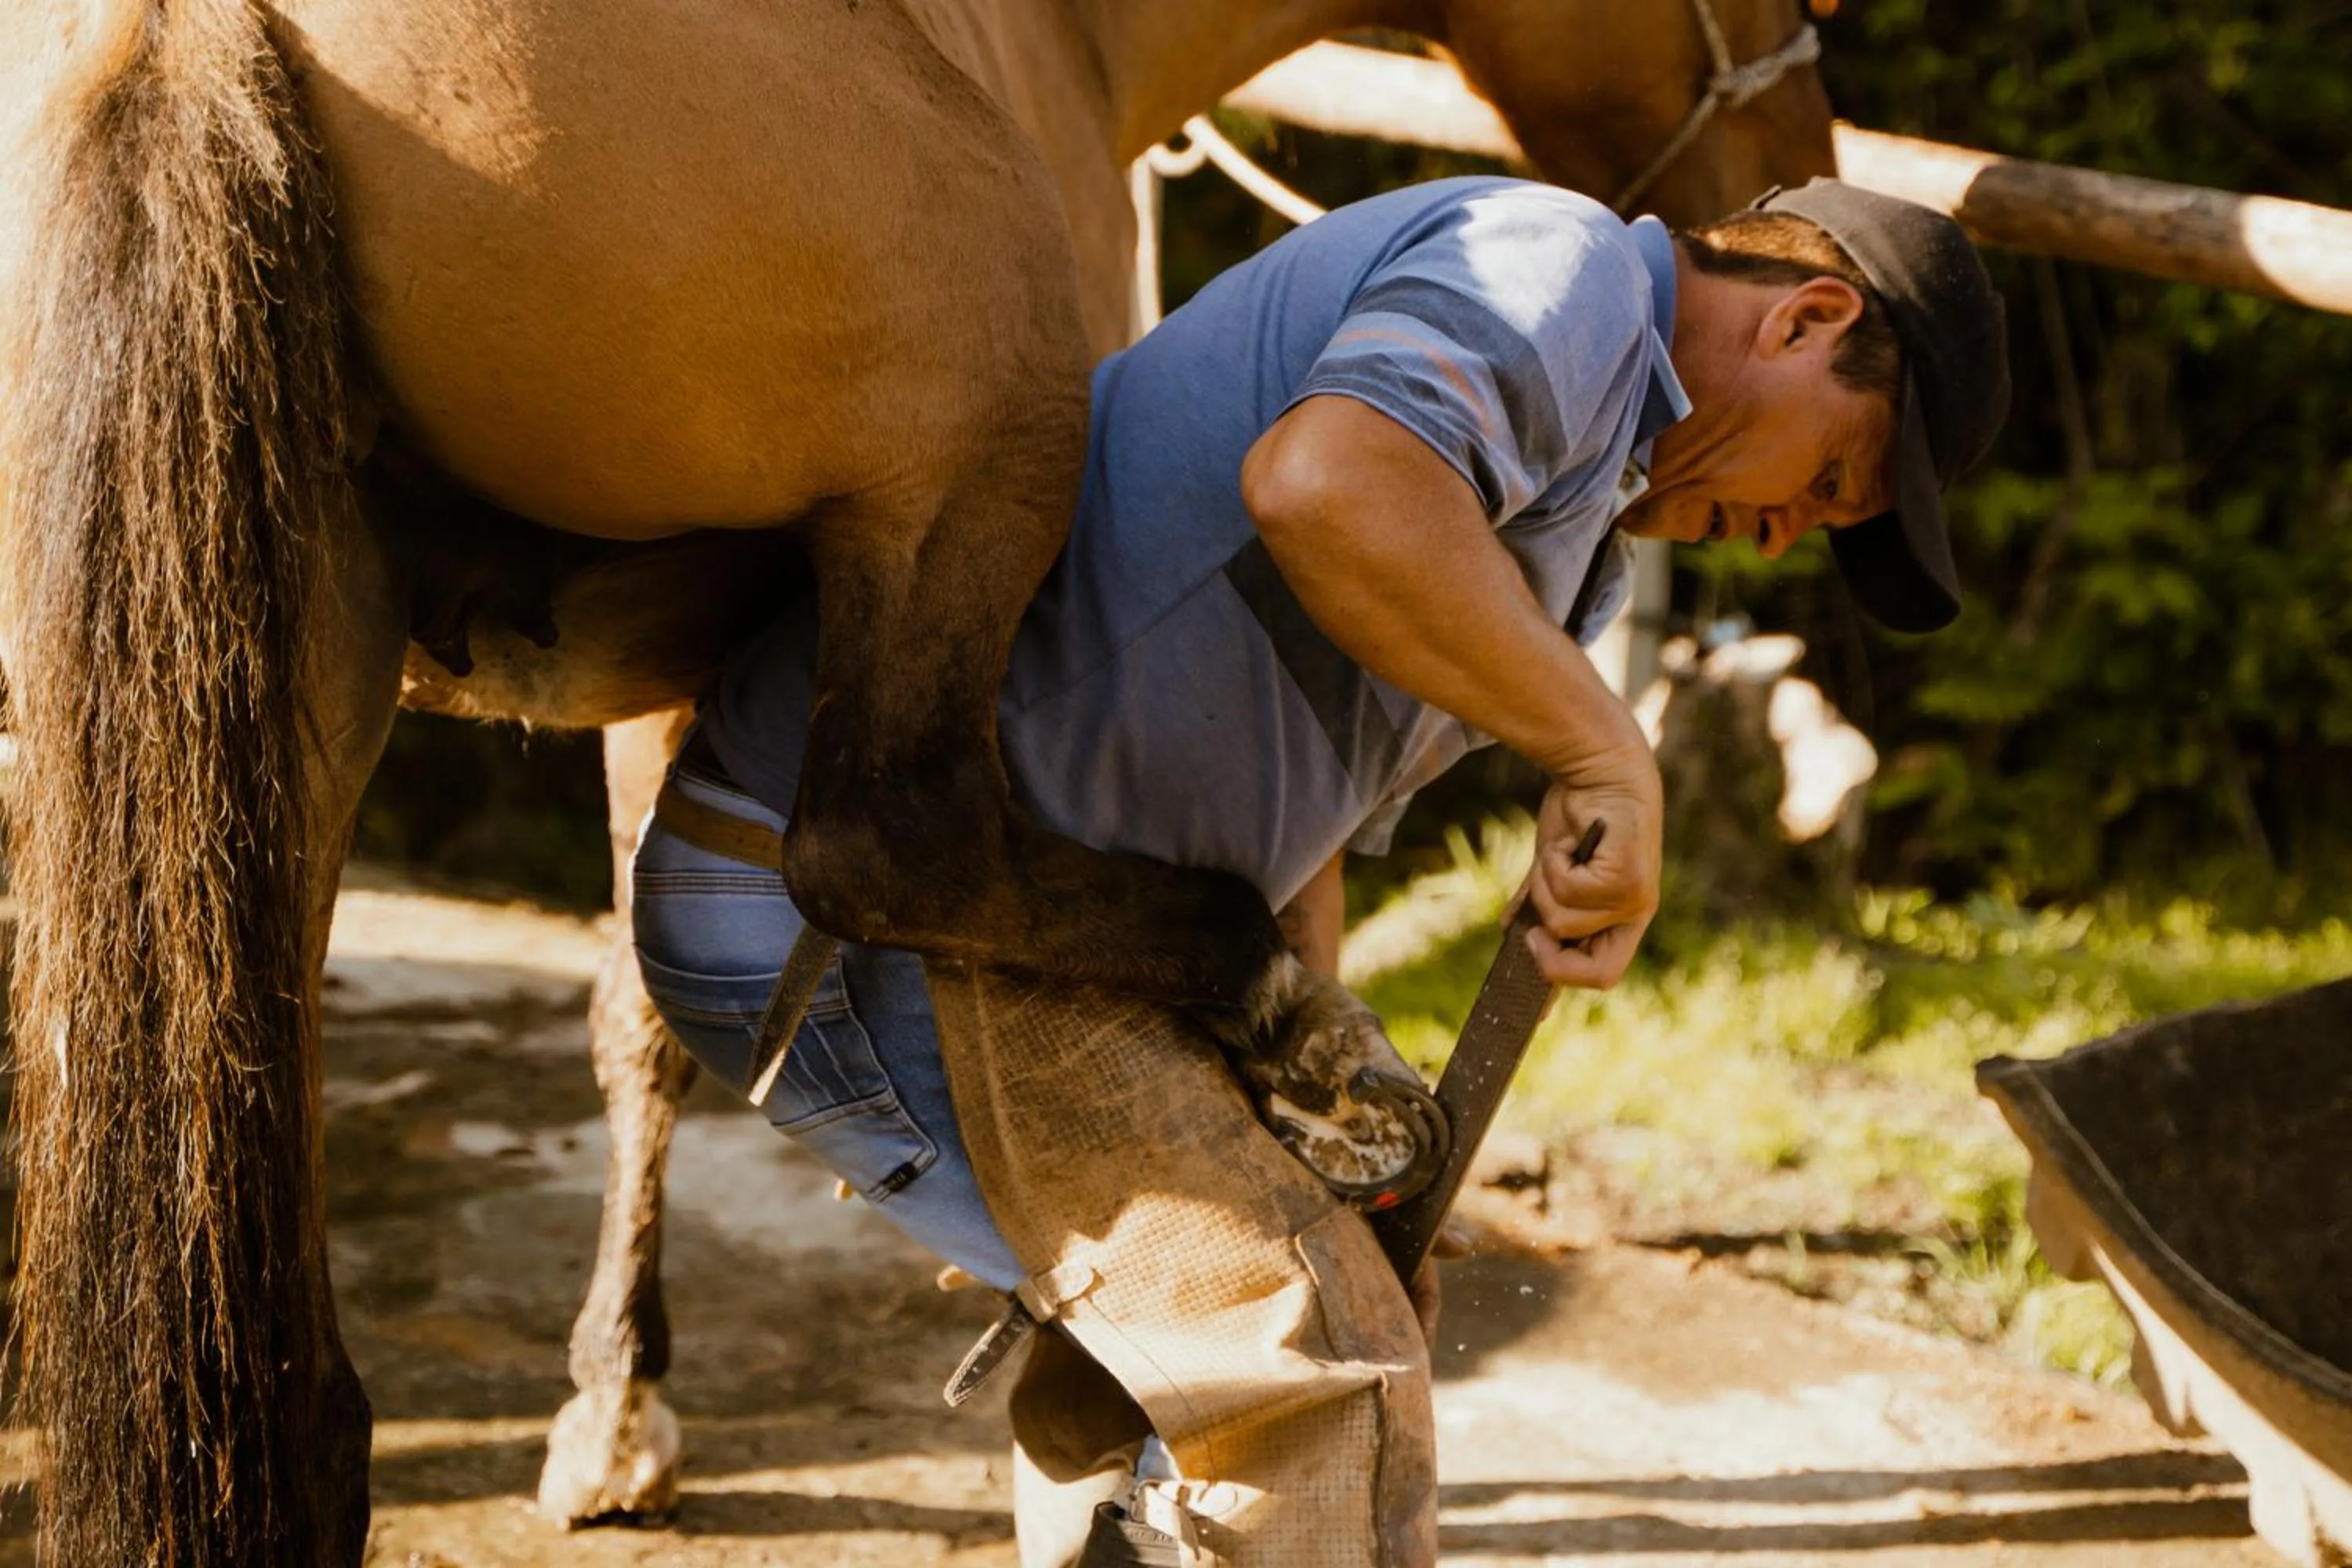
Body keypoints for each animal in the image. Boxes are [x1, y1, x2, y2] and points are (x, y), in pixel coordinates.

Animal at [0, 0, 1832, 1558]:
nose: (1789, 191)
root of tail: (188, 29)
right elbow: (668, 1008)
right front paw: (626, 1407)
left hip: (271, 685)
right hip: (968, 447)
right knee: (886, 840)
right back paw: (1265, 1002)